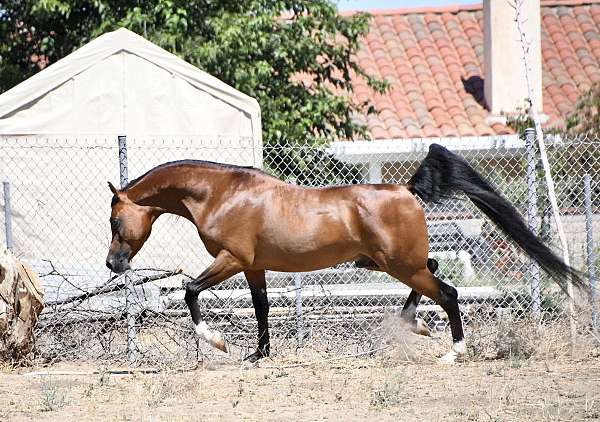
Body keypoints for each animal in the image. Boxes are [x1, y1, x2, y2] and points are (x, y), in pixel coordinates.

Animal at [105, 144, 584, 362]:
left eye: (114, 221)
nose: (113, 263)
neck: (223, 194)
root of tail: (407, 189)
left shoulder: (232, 260)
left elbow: (189, 291)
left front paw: (219, 342)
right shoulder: (254, 267)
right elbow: (260, 308)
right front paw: (259, 355)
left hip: (398, 264)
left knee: (447, 292)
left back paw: (453, 351)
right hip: (393, 263)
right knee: (433, 274)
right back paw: (415, 325)